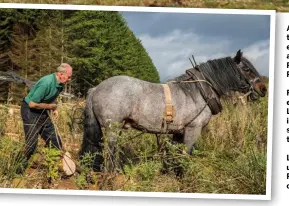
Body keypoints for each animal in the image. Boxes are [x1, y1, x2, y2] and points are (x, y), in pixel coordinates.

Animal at [79, 49, 266, 171]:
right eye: (247, 69)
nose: (263, 89)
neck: (197, 92)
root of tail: (96, 88)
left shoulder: (178, 131)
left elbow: (175, 155)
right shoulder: (193, 129)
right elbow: (184, 155)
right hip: (112, 129)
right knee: (110, 155)